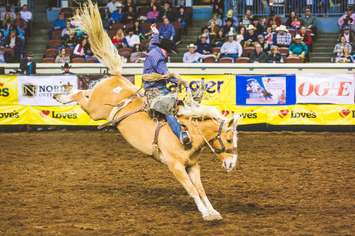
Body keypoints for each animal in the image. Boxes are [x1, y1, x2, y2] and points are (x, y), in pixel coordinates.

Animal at [54, 0, 241, 221]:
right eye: (228, 139)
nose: (231, 165)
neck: (190, 133)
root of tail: (117, 77)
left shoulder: (193, 166)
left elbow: (201, 189)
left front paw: (212, 211)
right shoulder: (175, 166)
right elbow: (192, 190)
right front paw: (205, 213)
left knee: (85, 93)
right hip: (95, 109)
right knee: (82, 94)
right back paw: (61, 95)